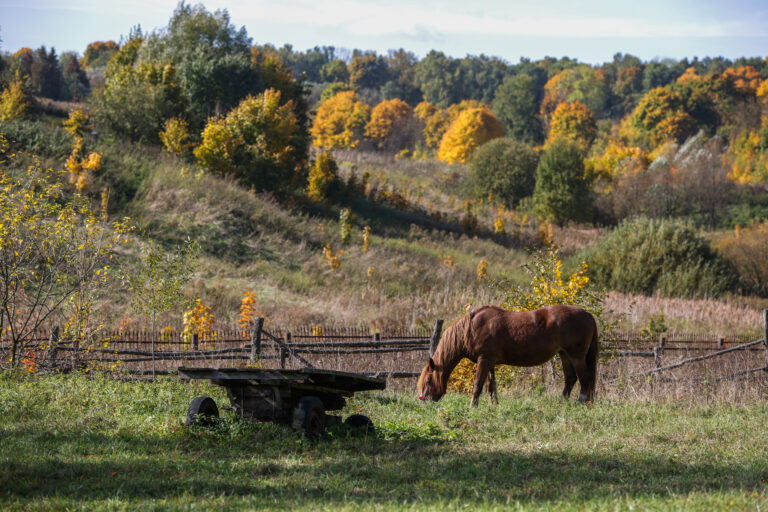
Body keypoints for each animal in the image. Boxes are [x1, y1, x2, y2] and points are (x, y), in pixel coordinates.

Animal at [417, 305, 599, 407]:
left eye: (428, 380)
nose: (423, 401)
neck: (471, 328)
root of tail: (588, 314)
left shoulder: (483, 360)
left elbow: (478, 385)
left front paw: (472, 407)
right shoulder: (489, 362)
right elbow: (491, 385)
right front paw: (494, 406)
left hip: (576, 355)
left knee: (585, 378)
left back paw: (582, 402)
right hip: (564, 354)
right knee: (570, 379)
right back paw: (563, 403)